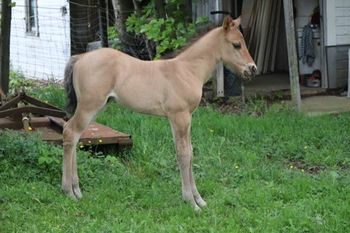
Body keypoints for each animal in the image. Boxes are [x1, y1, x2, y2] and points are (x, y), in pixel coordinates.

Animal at [61, 15, 256, 210]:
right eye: (236, 44)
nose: (252, 68)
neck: (187, 70)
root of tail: (80, 57)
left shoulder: (185, 118)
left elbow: (190, 152)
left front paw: (199, 199)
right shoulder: (179, 116)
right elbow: (184, 154)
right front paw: (191, 202)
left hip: (97, 107)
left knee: (76, 136)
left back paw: (77, 190)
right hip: (89, 106)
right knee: (70, 132)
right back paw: (68, 191)